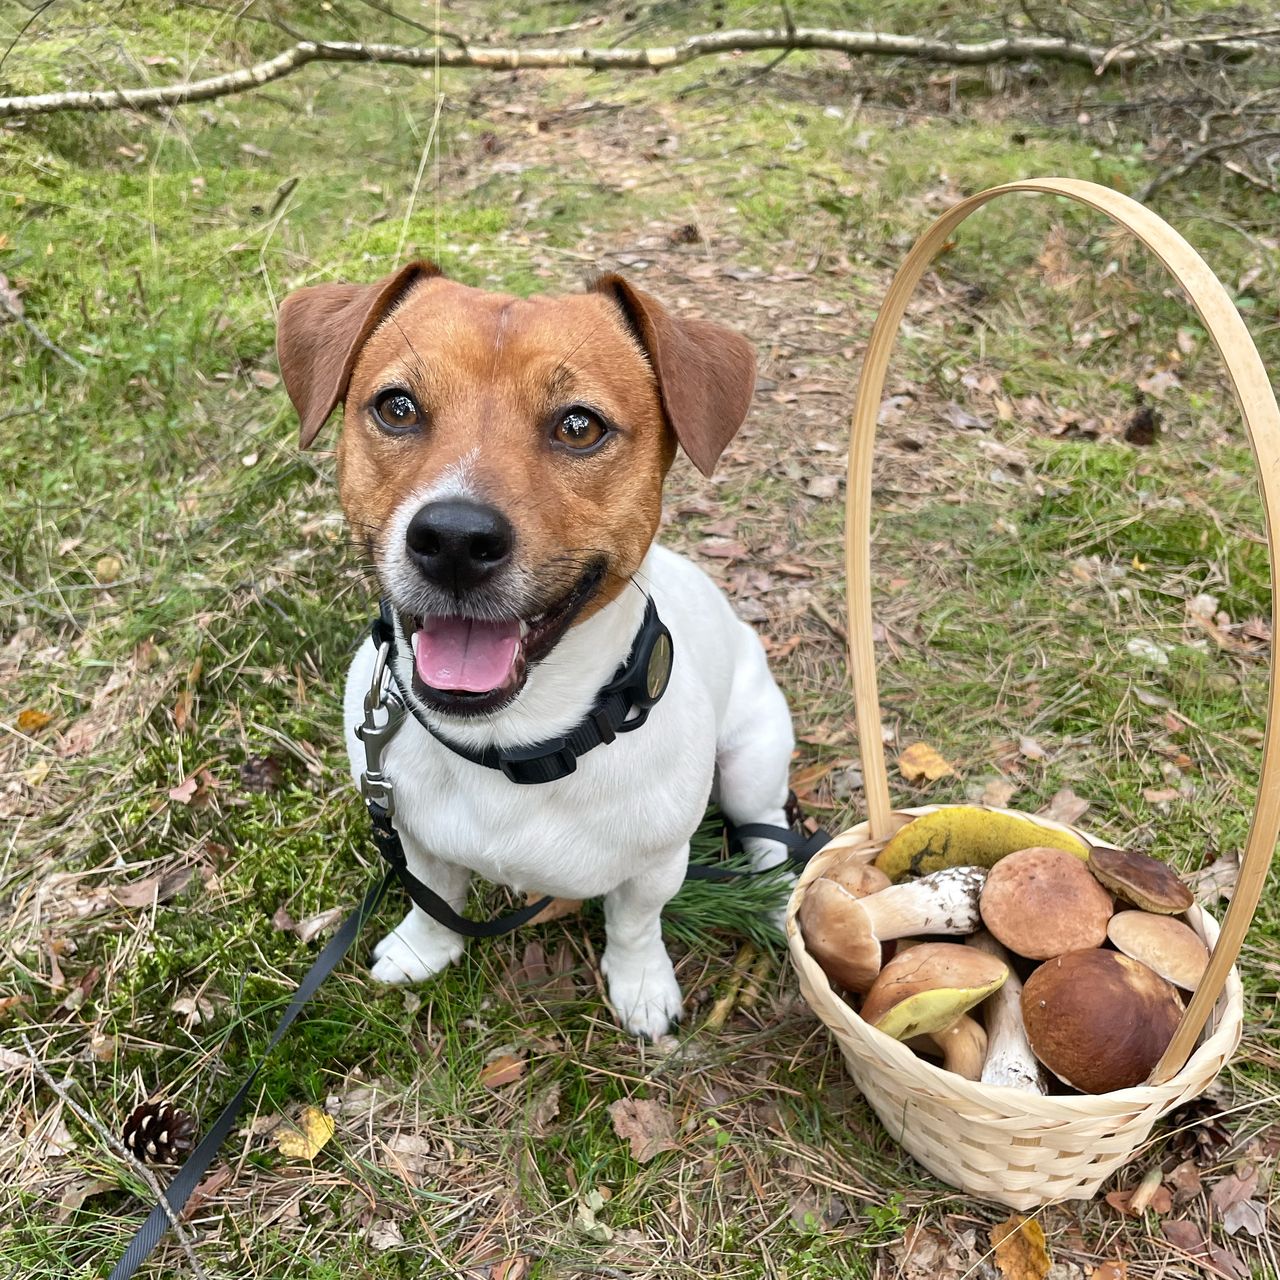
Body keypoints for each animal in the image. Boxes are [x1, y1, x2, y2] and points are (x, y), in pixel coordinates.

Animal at [280, 264, 793, 1034]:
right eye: (397, 407)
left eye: (579, 425)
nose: (454, 540)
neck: (514, 745)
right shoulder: (415, 836)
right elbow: (435, 899)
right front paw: (423, 949)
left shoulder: (656, 866)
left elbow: (635, 924)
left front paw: (641, 984)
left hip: (751, 761)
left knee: (769, 831)